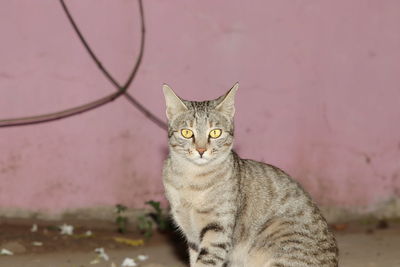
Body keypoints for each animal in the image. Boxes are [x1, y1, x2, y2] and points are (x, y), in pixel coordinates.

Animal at [162, 82, 338, 266]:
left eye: (215, 132)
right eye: (187, 132)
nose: (201, 150)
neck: (192, 180)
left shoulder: (218, 230)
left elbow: (206, 261)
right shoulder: (192, 236)